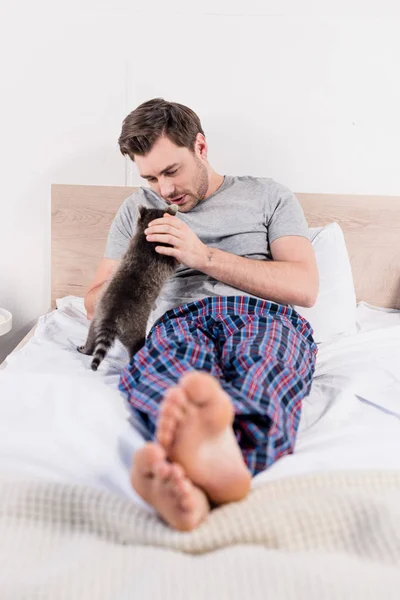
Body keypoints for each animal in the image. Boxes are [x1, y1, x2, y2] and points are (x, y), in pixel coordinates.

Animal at [78, 203, 178, 370]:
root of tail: (112, 316)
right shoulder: (164, 254)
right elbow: (175, 262)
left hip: (97, 319)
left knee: (92, 334)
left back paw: (87, 349)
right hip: (134, 329)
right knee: (137, 346)